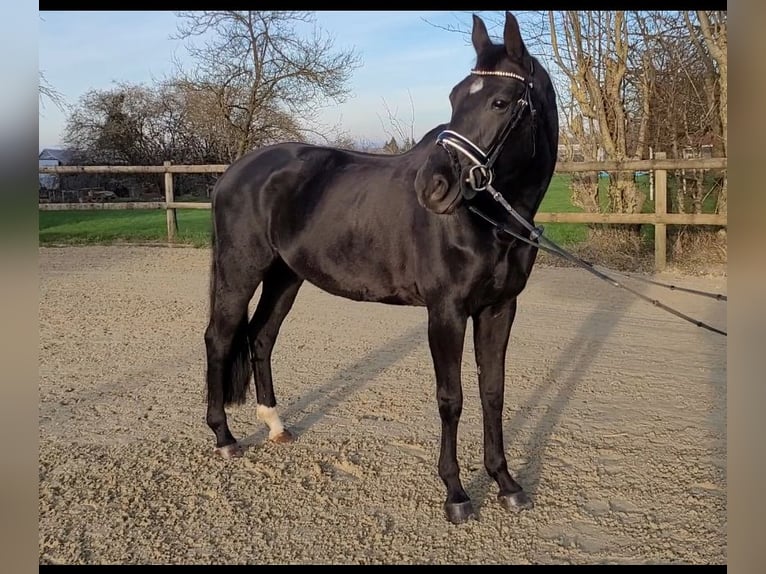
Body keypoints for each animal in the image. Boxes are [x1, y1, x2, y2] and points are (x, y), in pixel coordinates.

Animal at [206, 12, 560, 528]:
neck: (488, 220)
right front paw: (456, 493)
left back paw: (275, 425)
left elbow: (492, 391)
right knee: (219, 337)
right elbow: (451, 397)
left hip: (286, 276)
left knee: (261, 336)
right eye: (455, 97)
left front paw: (506, 483)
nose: (434, 187)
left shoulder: (499, 309)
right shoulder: (446, 312)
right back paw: (224, 438)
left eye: (499, 101)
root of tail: (233, 172)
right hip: (239, 271)